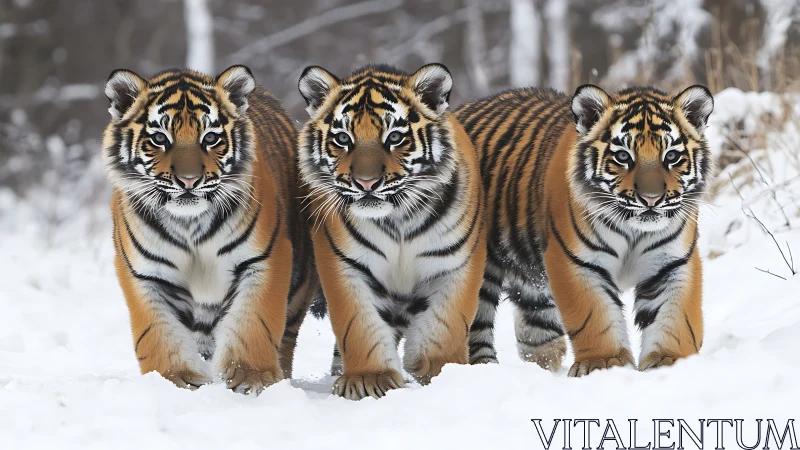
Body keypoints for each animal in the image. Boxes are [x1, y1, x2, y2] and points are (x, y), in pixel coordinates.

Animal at [102, 65, 317, 394]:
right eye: (160, 138)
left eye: (211, 137)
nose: (189, 180)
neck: (189, 223)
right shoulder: (146, 273)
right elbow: (158, 331)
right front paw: (175, 379)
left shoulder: (263, 258)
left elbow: (253, 321)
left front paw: (251, 376)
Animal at [297, 63, 486, 400]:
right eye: (343, 138)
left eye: (395, 137)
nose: (367, 182)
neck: (398, 218)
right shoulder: (344, 265)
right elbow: (358, 324)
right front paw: (369, 379)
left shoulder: (457, 264)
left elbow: (447, 325)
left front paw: (445, 376)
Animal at [454, 84, 713, 376]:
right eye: (622, 156)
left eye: (671, 156)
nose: (651, 198)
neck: (633, 230)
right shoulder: (576, 261)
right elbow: (595, 316)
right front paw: (604, 363)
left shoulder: (673, 263)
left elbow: (675, 317)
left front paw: (670, 361)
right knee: (473, 326)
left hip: (532, 284)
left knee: (536, 333)